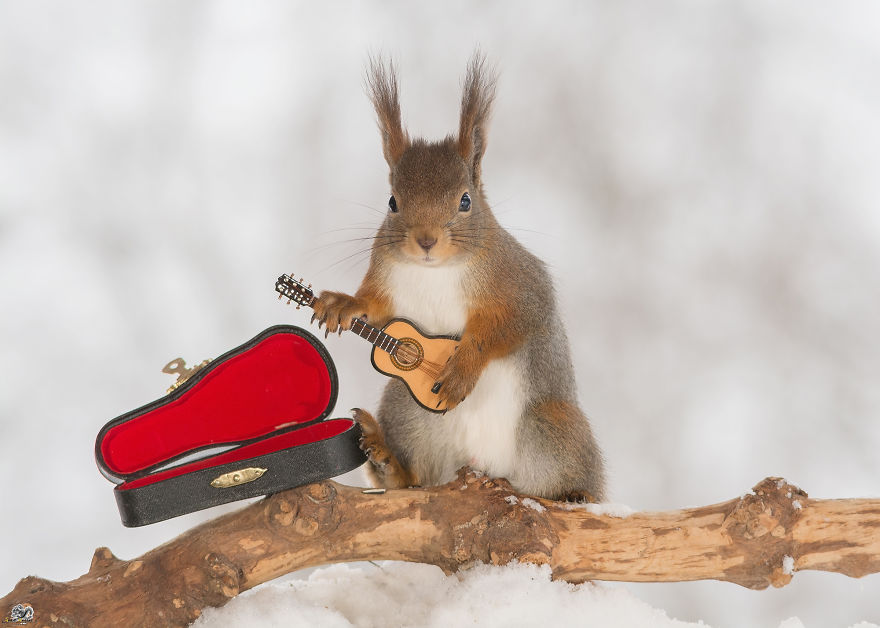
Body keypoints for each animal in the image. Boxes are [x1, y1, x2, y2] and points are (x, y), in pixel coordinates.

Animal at [311, 54, 606, 502]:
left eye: (465, 200)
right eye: (392, 202)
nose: (426, 240)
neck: (436, 271)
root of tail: (481, 465)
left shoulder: (522, 285)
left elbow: (508, 325)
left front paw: (463, 366)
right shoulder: (387, 285)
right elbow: (374, 307)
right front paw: (342, 304)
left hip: (552, 425)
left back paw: (574, 495)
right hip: (405, 406)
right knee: (413, 477)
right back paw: (385, 458)